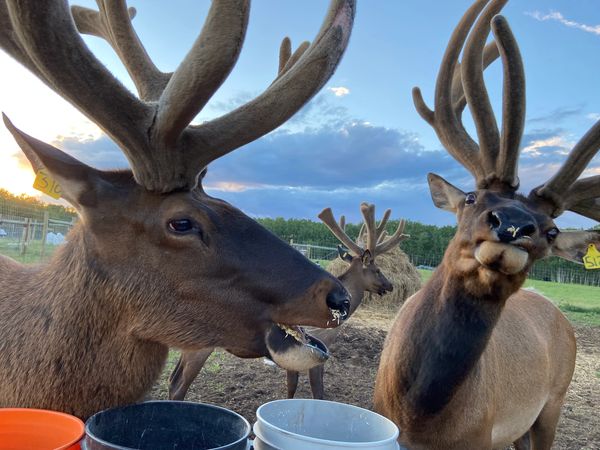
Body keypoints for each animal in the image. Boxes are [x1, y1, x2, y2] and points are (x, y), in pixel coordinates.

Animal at [372, 0, 596, 450]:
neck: (419, 417)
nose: (514, 225)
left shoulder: (481, 436)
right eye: (473, 198)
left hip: (551, 404)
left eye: (551, 231)